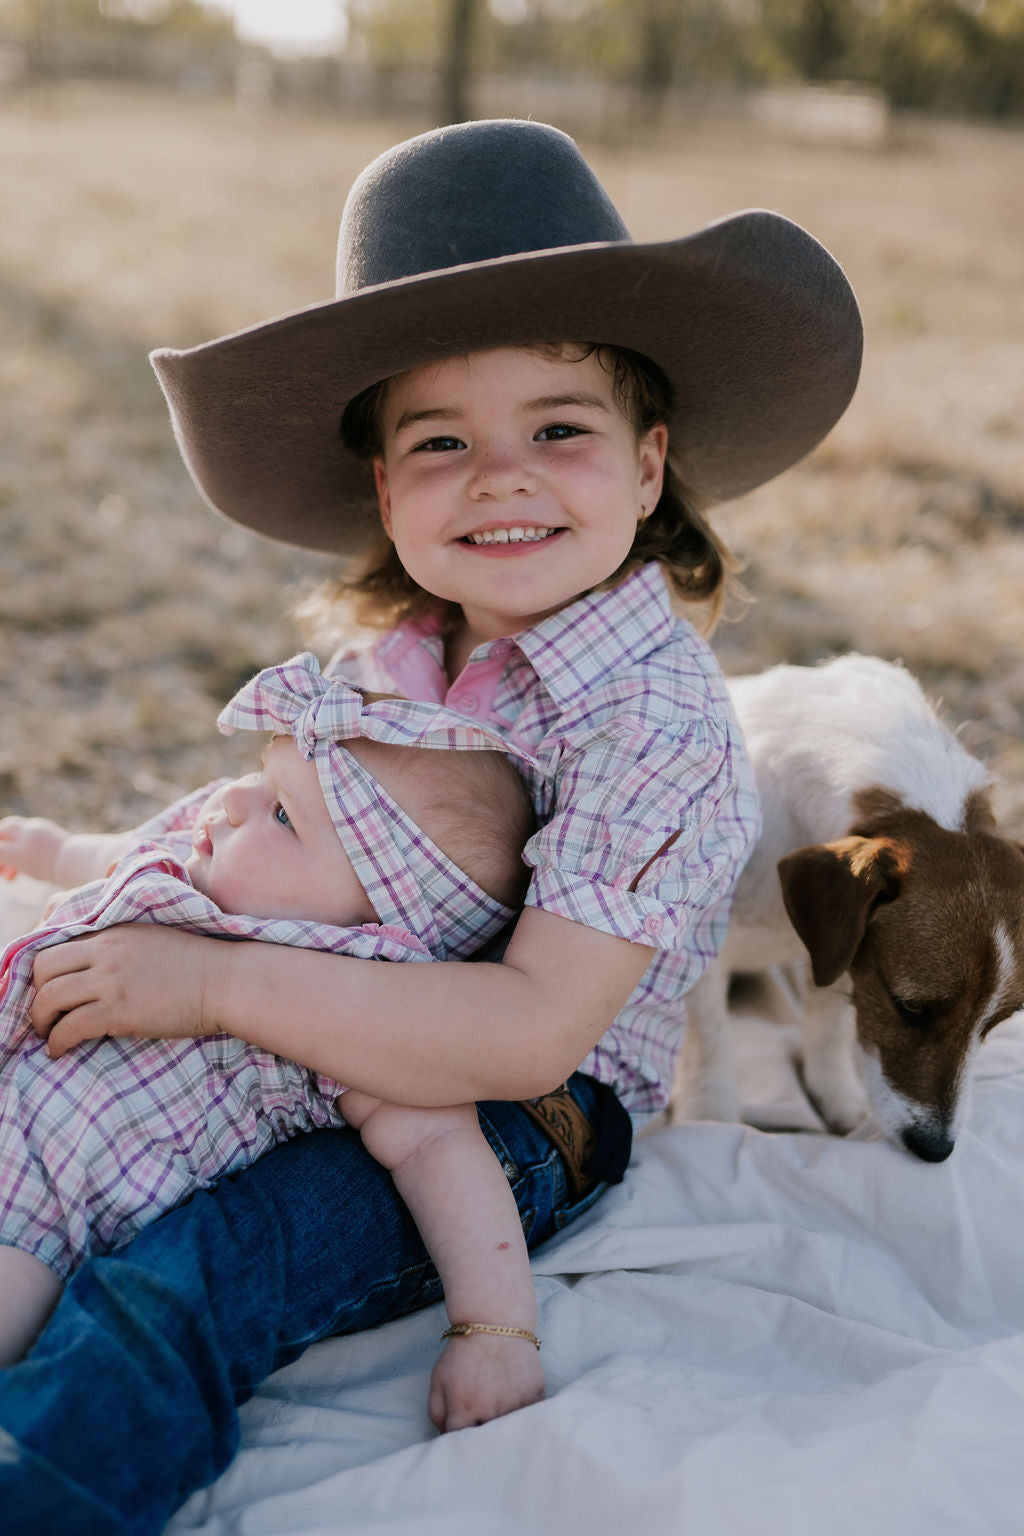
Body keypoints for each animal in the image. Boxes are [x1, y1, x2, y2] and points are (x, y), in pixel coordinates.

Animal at [672, 651, 1024, 1161]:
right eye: (910, 1008)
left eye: (996, 1023)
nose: (936, 1150)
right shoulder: (699, 951)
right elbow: (711, 1040)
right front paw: (710, 1120)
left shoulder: (840, 955)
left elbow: (827, 1031)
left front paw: (839, 1103)